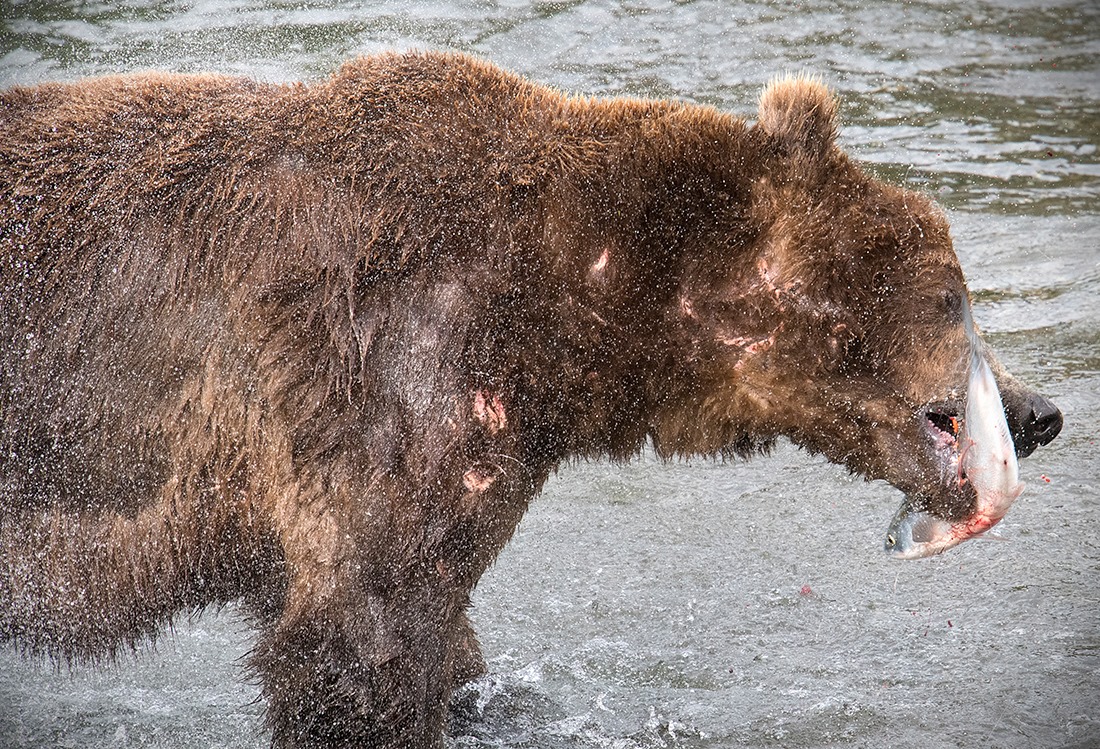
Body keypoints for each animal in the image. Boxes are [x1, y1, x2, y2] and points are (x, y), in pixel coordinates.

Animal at [2, 52, 1064, 747]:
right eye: (956, 288)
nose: (1041, 411)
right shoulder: (381, 379)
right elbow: (358, 649)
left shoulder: (464, 450)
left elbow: (442, 635)